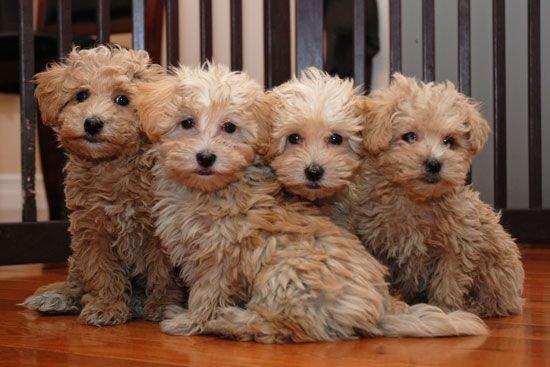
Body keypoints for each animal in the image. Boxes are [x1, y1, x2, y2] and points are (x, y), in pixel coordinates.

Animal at [22, 45, 181, 324]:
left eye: (122, 100)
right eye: (82, 95)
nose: (92, 123)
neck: (112, 167)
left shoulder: (161, 232)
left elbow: (163, 273)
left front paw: (163, 305)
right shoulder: (92, 229)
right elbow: (101, 271)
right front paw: (106, 306)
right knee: (78, 281)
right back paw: (59, 299)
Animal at [350, 73, 528, 318]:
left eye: (449, 141)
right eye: (409, 136)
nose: (434, 163)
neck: (416, 200)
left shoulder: (458, 243)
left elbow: (449, 280)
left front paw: (444, 309)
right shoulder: (376, 242)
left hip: (498, 268)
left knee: (496, 301)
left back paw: (474, 306)